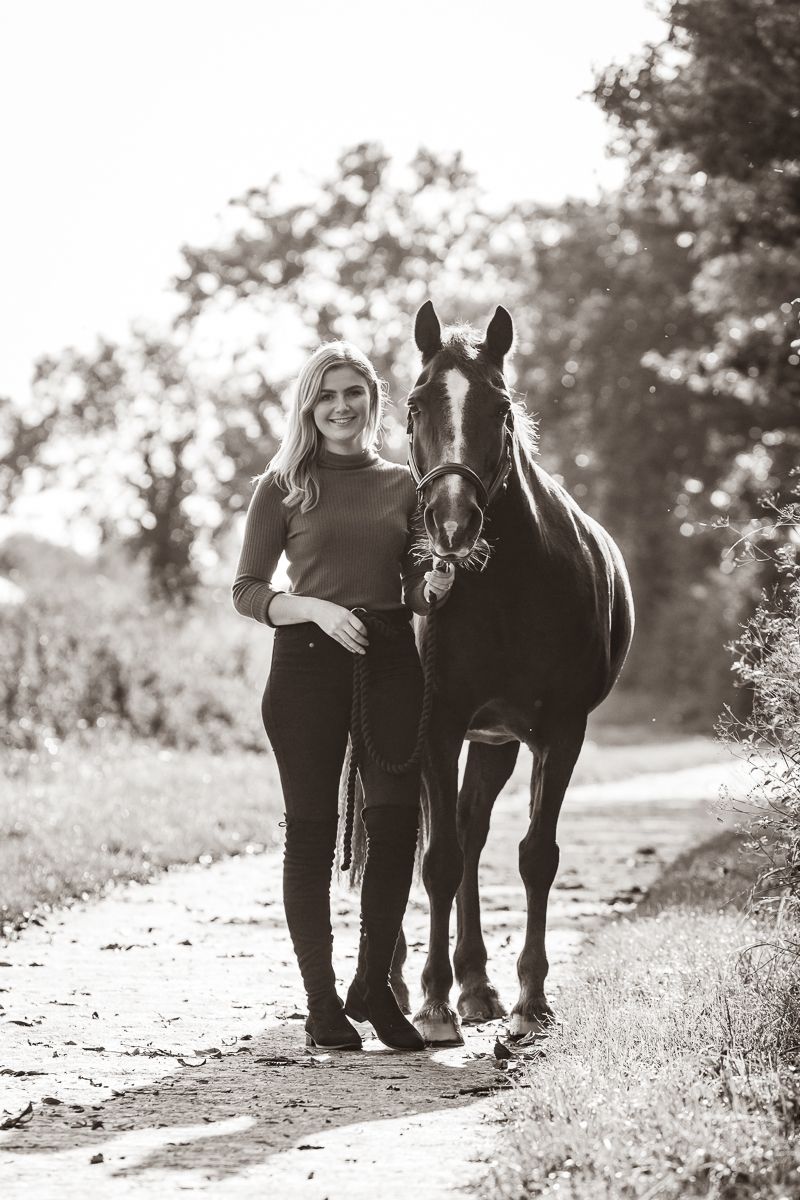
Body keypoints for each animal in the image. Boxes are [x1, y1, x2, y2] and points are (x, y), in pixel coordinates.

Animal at [398, 301, 635, 1044]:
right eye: (416, 404)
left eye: (499, 407)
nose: (452, 523)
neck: (502, 588)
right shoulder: (437, 726)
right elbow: (437, 859)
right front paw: (433, 1005)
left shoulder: (560, 730)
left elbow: (536, 855)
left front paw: (532, 1000)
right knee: (440, 841)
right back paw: (416, 985)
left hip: (496, 744)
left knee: (473, 831)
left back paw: (477, 984)